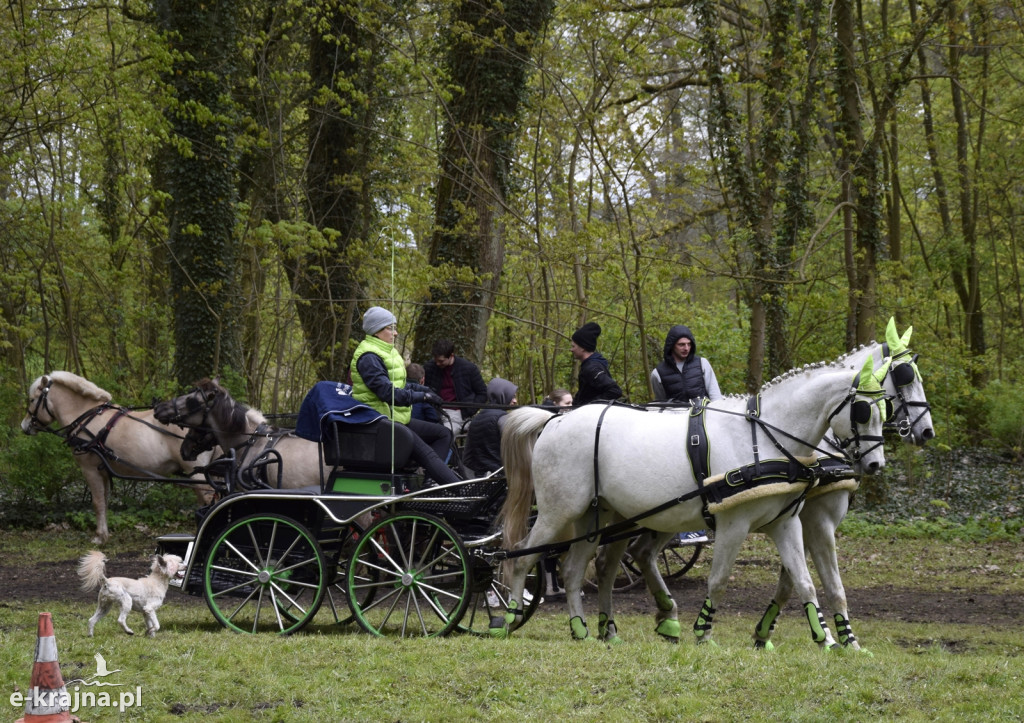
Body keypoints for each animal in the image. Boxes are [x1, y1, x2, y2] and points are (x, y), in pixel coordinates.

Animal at [21, 372, 216, 540]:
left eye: (32, 400)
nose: (24, 426)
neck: (86, 417)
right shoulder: (103, 471)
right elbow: (104, 501)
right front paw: (105, 533)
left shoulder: (89, 469)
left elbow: (97, 502)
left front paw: (100, 537)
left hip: (197, 472)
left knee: (209, 500)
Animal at [493, 354, 888, 643]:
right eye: (863, 411)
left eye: (884, 410)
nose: (875, 464)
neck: (762, 438)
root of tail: (555, 420)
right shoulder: (734, 523)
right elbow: (719, 580)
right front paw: (703, 633)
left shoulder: (785, 524)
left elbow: (805, 581)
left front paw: (829, 640)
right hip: (557, 512)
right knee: (522, 556)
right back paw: (511, 617)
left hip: (599, 518)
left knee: (576, 568)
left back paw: (583, 629)